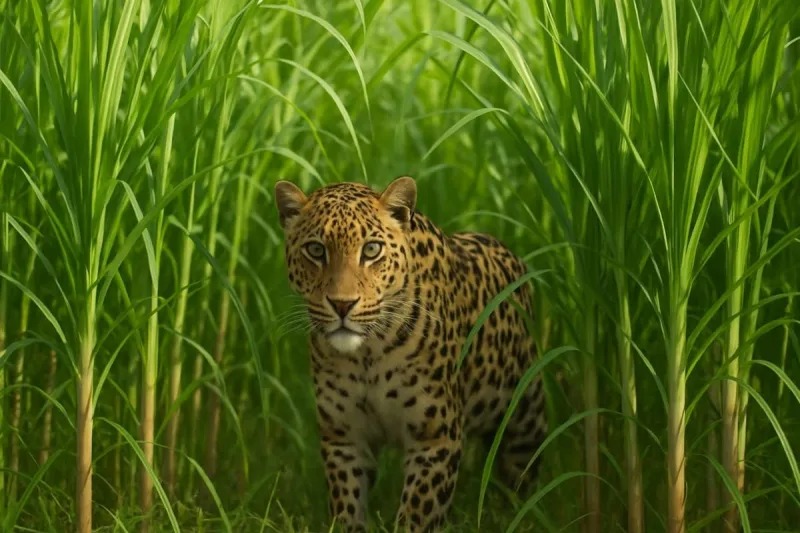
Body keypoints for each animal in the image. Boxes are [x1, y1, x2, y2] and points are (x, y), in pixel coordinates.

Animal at [274, 176, 546, 532]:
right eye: (316, 250)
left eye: (371, 250)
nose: (342, 305)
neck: (367, 354)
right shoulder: (344, 437)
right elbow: (347, 504)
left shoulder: (435, 439)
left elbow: (418, 513)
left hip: (526, 416)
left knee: (520, 473)